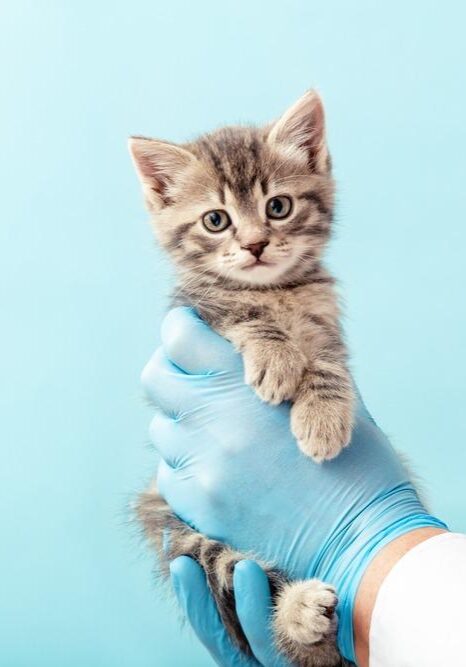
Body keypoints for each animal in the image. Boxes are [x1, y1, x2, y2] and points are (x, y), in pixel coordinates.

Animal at [130, 90, 354, 667]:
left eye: (278, 207)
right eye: (216, 220)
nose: (255, 245)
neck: (277, 291)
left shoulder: (325, 321)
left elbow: (328, 360)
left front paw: (324, 417)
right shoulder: (198, 311)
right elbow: (244, 315)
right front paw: (276, 355)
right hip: (175, 519)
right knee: (233, 570)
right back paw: (298, 612)